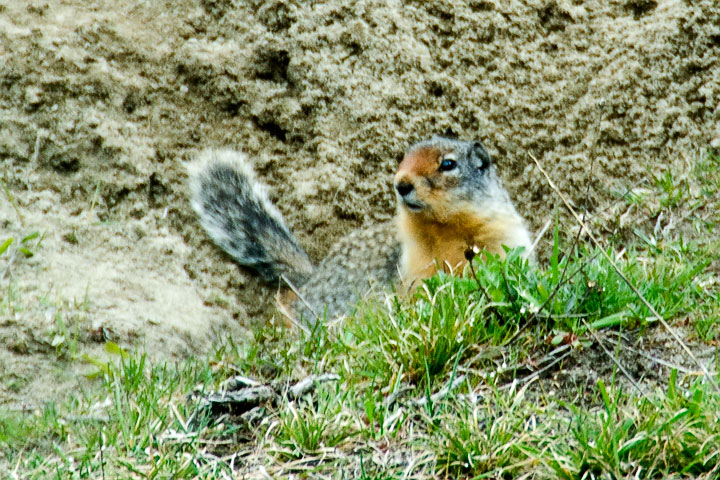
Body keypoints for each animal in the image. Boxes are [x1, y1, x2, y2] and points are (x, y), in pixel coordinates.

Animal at [188, 137, 532, 324]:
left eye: (448, 164)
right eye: (403, 158)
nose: (401, 184)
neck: (442, 229)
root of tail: (308, 280)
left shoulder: (501, 235)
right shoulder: (414, 267)